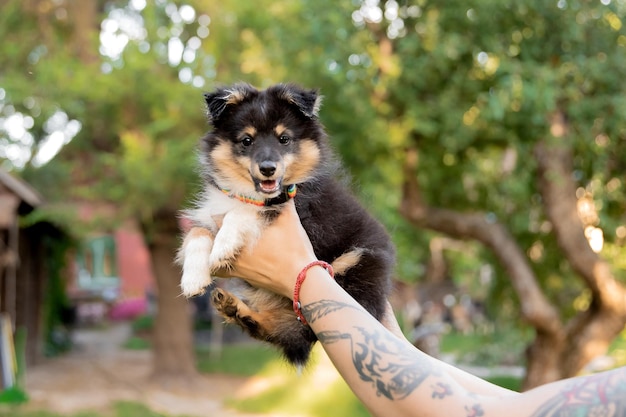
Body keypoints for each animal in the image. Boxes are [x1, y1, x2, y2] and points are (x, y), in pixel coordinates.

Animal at [179, 83, 394, 366]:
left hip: (356, 265)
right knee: (286, 331)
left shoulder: (293, 204)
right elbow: (196, 232)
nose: (268, 168)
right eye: (247, 140)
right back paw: (237, 311)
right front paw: (193, 278)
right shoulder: (212, 212)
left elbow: (246, 211)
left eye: (284, 139)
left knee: (305, 330)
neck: (249, 191)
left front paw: (223, 247)